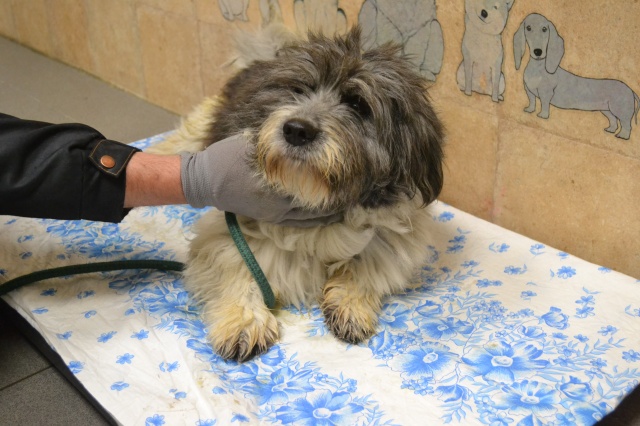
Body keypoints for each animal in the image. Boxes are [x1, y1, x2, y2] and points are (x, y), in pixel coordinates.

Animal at [153, 25, 445, 362]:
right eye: (298, 89)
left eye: (358, 104)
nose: (296, 129)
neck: (311, 200)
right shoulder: (224, 229)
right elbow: (235, 265)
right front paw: (243, 322)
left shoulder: (390, 237)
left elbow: (365, 266)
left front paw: (349, 306)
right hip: (194, 132)